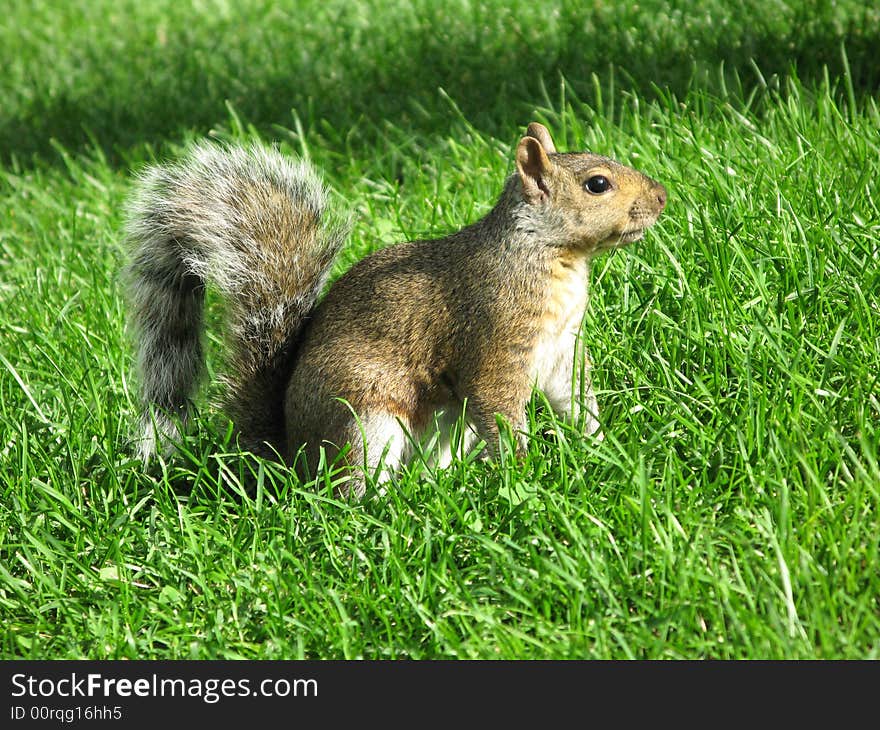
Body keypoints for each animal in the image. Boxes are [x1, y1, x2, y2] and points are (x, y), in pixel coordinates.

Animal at [125, 123, 668, 494]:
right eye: (597, 184)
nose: (662, 197)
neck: (551, 256)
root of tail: (288, 454)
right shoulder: (495, 339)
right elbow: (499, 409)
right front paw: (523, 473)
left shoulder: (560, 351)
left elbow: (573, 398)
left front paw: (600, 443)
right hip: (364, 420)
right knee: (351, 488)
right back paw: (383, 507)